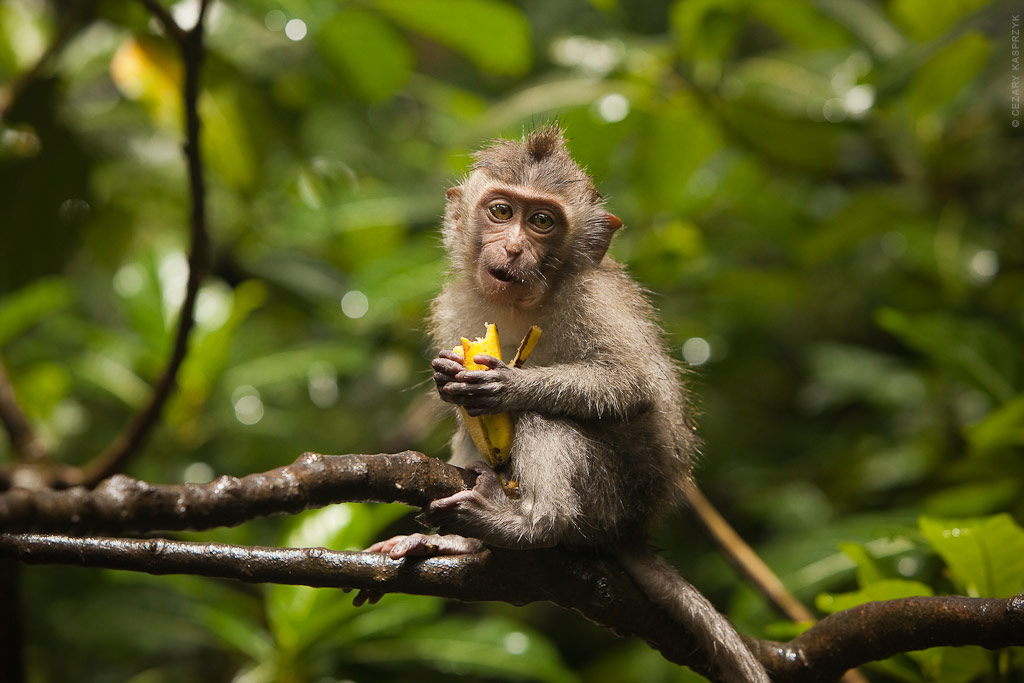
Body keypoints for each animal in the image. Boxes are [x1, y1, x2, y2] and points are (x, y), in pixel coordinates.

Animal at [364, 124, 770, 683]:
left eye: (541, 221)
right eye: (501, 212)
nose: (513, 248)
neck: (523, 301)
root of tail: (633, 531)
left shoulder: (591, 301)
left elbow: (631, 385)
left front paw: (510, 387)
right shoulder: (453, 307)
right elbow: (461, 409)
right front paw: (447, 376)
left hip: (612, 496)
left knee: (547, 423)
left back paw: (533, 525)